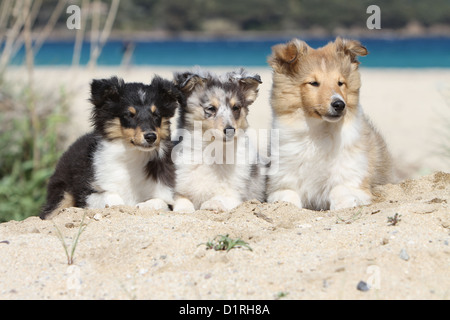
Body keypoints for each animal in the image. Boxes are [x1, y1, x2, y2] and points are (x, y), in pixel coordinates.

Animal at [39, 76, 183, 219]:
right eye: (129, 115)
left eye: (156, 115)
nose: (151, 136)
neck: (132, 155)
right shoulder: (88, 192)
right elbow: (111, 198)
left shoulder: (165, 192)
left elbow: (158, 202)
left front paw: (141, 206)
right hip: (63, 193)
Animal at [171, 67, 264, 212]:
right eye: (211, 108)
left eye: (236, 108)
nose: (230, 130)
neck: (212, 151)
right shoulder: (178, 189)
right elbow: (182, 200)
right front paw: (184, 209)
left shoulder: (236, 195)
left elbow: (217, 198)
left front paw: (211, 204)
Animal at [266, 37, 392, 211]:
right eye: (313, 83)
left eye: (340, 83)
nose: (339, 105)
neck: (319, 133)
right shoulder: (281, 184)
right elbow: (287, 198)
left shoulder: (357, 182)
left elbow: (339, 188)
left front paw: (344, 203)